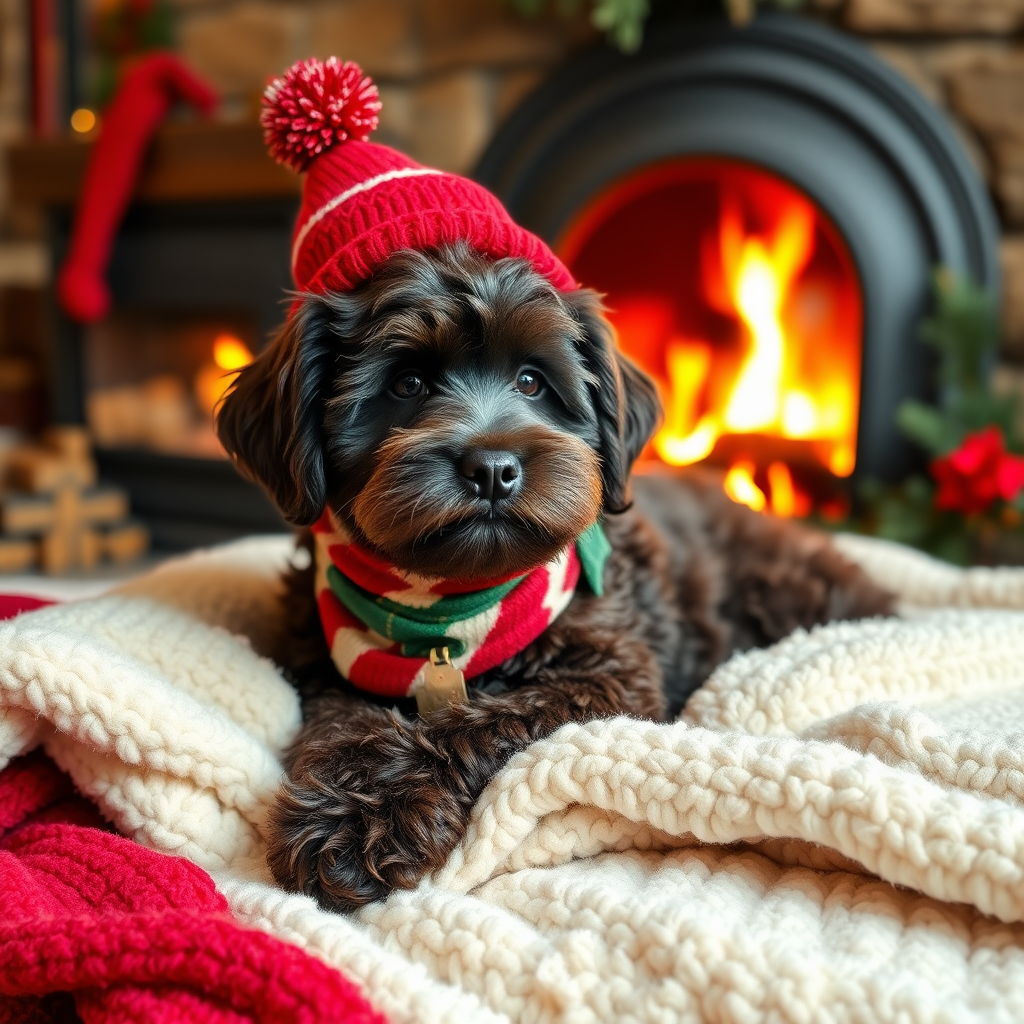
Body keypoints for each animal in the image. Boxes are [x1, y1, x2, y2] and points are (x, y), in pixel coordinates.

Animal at [218, 239, 897, 913]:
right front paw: (349, 803)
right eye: (407, 383)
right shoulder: (324, 669)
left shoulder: (609, 675)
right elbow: (344, 723)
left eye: (532, 381)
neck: (450, 610)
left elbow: (485, 721)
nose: (493, 467)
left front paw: (368, 815)